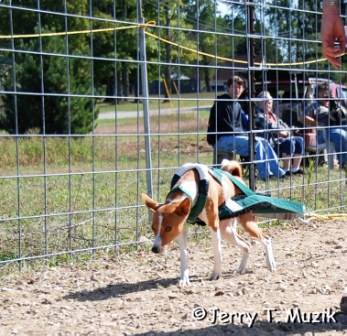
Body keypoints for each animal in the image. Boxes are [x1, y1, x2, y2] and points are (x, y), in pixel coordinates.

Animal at [143, 160, 276, 286]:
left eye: (168, 228)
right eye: (153, 228)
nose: (154, 249)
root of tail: (237, 177)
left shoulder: (213, 225)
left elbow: (217, 251)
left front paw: (216, 274)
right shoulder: (181, 229)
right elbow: (184, 254)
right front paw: (184, 279)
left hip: (246, 223)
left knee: (266, 239)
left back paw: (270, 264)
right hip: (226, 231)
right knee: (247, 245)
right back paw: (241, 269)